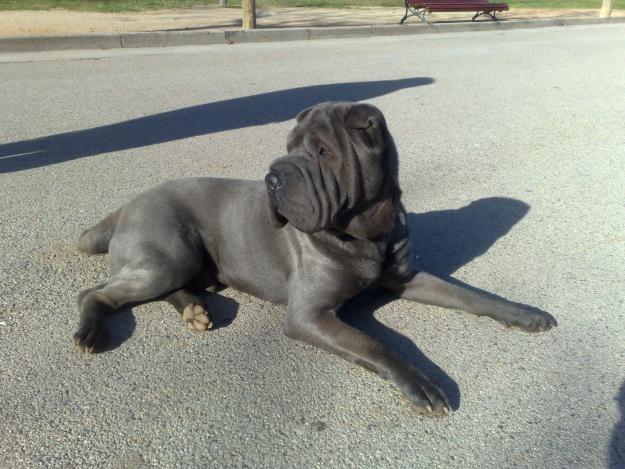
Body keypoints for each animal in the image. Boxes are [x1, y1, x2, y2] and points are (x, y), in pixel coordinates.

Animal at [73, 101, 556, 414]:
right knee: (96, 292)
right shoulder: (309, 314)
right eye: (289, 147)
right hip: (168, 255)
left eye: (324, 152)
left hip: (177, 263)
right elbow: (375, 344)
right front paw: (422, 383)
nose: (273, 175)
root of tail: (125, 206)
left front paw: (523, 313)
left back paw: (195, 309)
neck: (367, 231)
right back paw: (92, 330)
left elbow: (468, 294)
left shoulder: (407, 276)